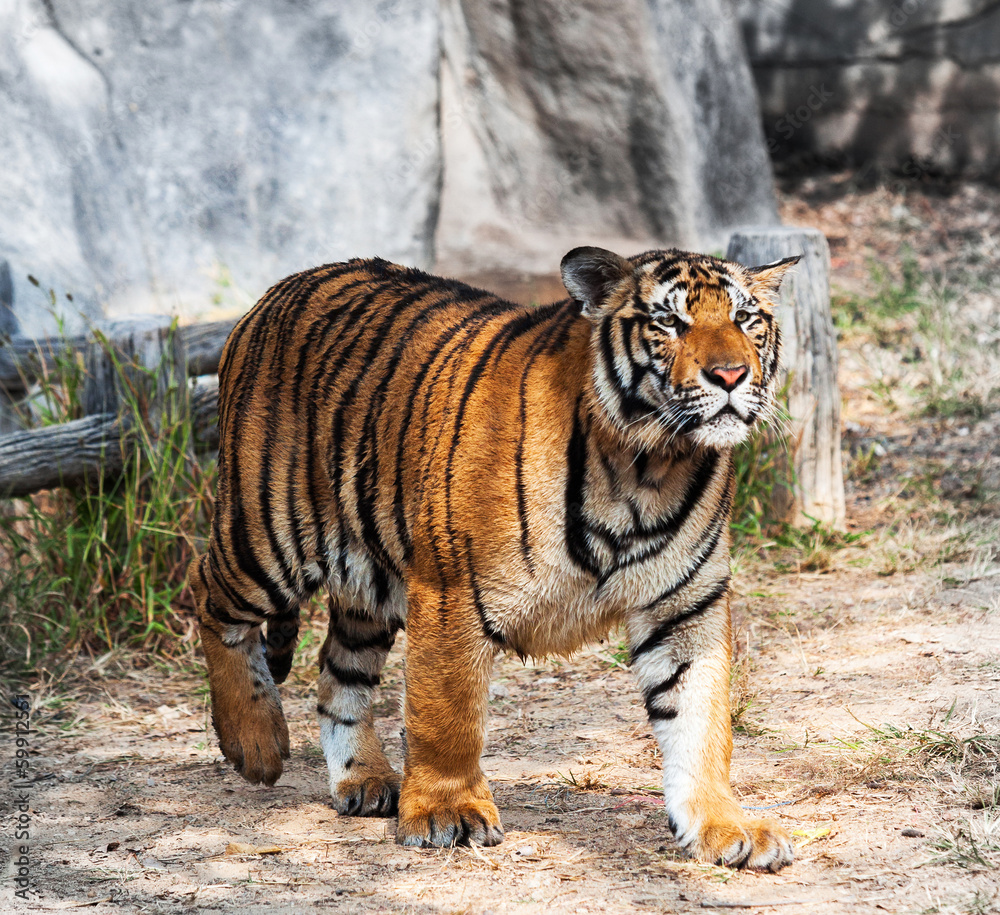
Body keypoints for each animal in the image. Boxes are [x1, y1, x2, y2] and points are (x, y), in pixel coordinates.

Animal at [187, 245, 800, 870]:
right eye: (669, 322)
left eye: (746, 319)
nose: (731, 375)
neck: (650, 468)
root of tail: (280, 288)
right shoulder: (451, 590)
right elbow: (447, 713)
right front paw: (447, 813)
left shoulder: (685, 609)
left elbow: (701, 723)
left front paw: (725, 825)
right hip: (267, 533)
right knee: (209, 592)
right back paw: (256, 744)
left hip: (369, 575)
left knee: (339, 669)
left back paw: (365, 780)